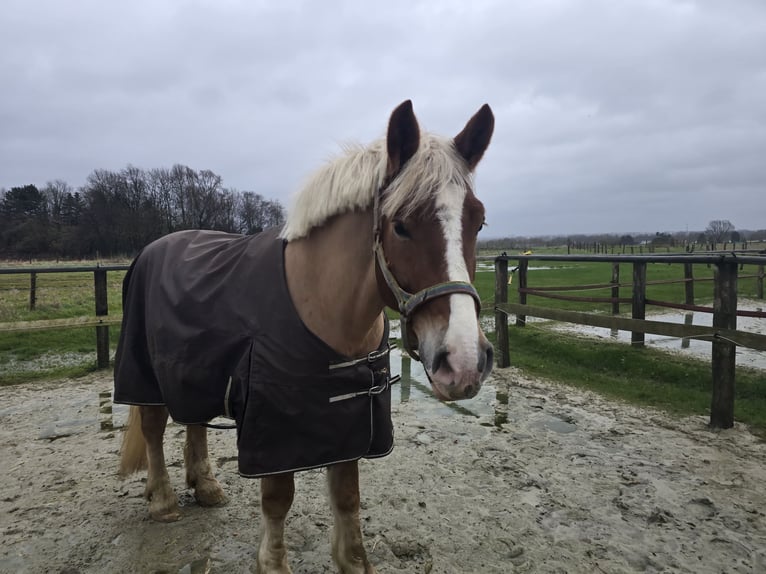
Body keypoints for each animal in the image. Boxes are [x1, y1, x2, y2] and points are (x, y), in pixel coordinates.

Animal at [114, 101, 498, 572]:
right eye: (401, 226)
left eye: (478, 222)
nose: (463, 363)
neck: (324, 307)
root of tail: (152, 249)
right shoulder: (273, 434)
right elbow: (279, 500)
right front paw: (272, 563)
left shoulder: (352, 427)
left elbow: (348, 499)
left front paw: (353, 560)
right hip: (146, 374)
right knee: (153, 428)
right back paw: (163, 500)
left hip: (194, 374)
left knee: (195, 422)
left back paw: (205, 486)